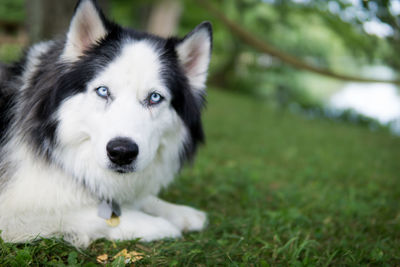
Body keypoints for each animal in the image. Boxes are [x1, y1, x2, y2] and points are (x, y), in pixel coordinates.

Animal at [0, 0, 212, 249]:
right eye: (103, 91)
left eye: (155, 97)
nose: (121, 152)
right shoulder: (15, 212)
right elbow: (85, 212)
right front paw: (159, 225)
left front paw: (180, 212)